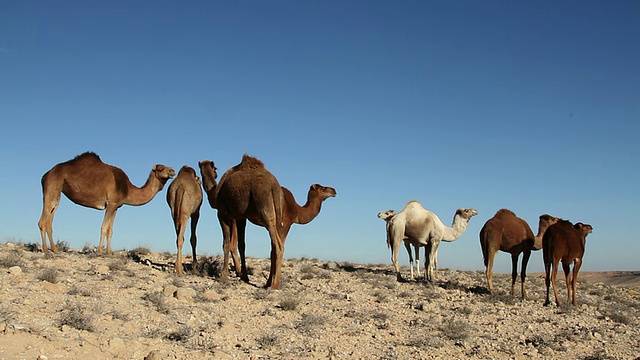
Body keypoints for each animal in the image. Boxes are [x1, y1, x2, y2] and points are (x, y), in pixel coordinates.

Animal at [39, 151, 175, 253]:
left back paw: (54, 249)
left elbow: (110, 230)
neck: (127, 189)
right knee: (43, 220)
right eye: (161, 168)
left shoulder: (116, 206)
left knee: (50, 219)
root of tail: (46, 175)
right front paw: (99, 250)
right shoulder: (111, 203)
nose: (172, 171)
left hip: (57, 192)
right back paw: (46, 249)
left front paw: (109, 252)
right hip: (53, 186)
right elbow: (104, 227)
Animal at [202, 155, 338, 290]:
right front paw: (250, 278)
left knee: (277, 246)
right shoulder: (278, 222)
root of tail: (274, 186)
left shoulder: (223, 213)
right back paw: (272, 283)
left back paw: (274, 284)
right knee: (274, 246)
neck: (298, 210)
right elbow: (244, 245)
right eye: (323, 188)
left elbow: (228, 244)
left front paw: (224, 275)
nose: (334, 191)